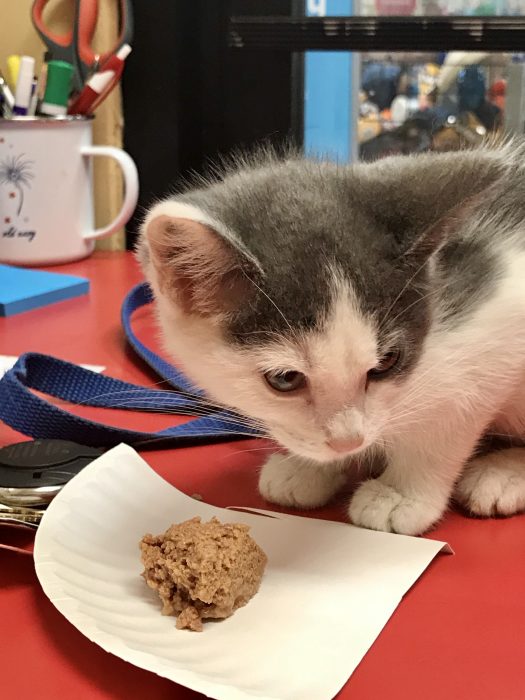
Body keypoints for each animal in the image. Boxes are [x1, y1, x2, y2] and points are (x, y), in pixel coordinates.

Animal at [139, 142, 525, 536]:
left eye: (387, 363)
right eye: (285, 379)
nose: (347, 441)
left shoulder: (498, 323)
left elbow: (451, 417)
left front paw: (402, 492)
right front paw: (307, 467)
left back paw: (503, 474)